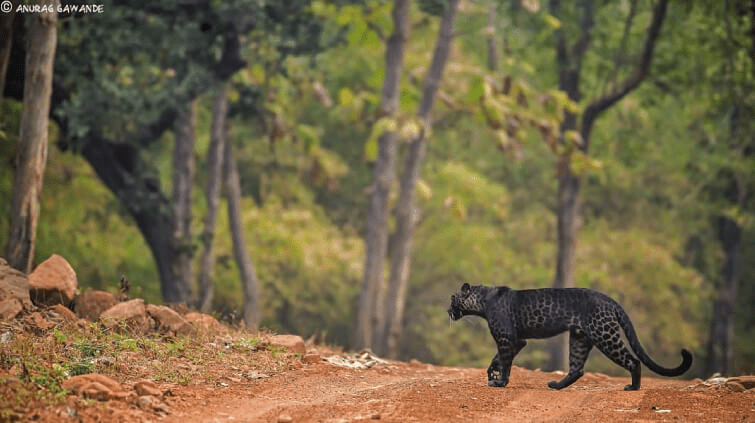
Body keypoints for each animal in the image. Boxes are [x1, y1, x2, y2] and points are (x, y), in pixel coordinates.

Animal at [446, 284, 692, 392]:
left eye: (452, 299)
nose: (447, 310)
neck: (482, 302)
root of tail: (609, 299)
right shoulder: (517, 341)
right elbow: (497, 358)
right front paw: (492, 372)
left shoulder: (508, 338)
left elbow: (505, 361)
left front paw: (500, 382)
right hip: (580, 339)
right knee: (577, 368)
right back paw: (556, 385)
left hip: (605, 335)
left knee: (633, 360)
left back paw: (633, 388)